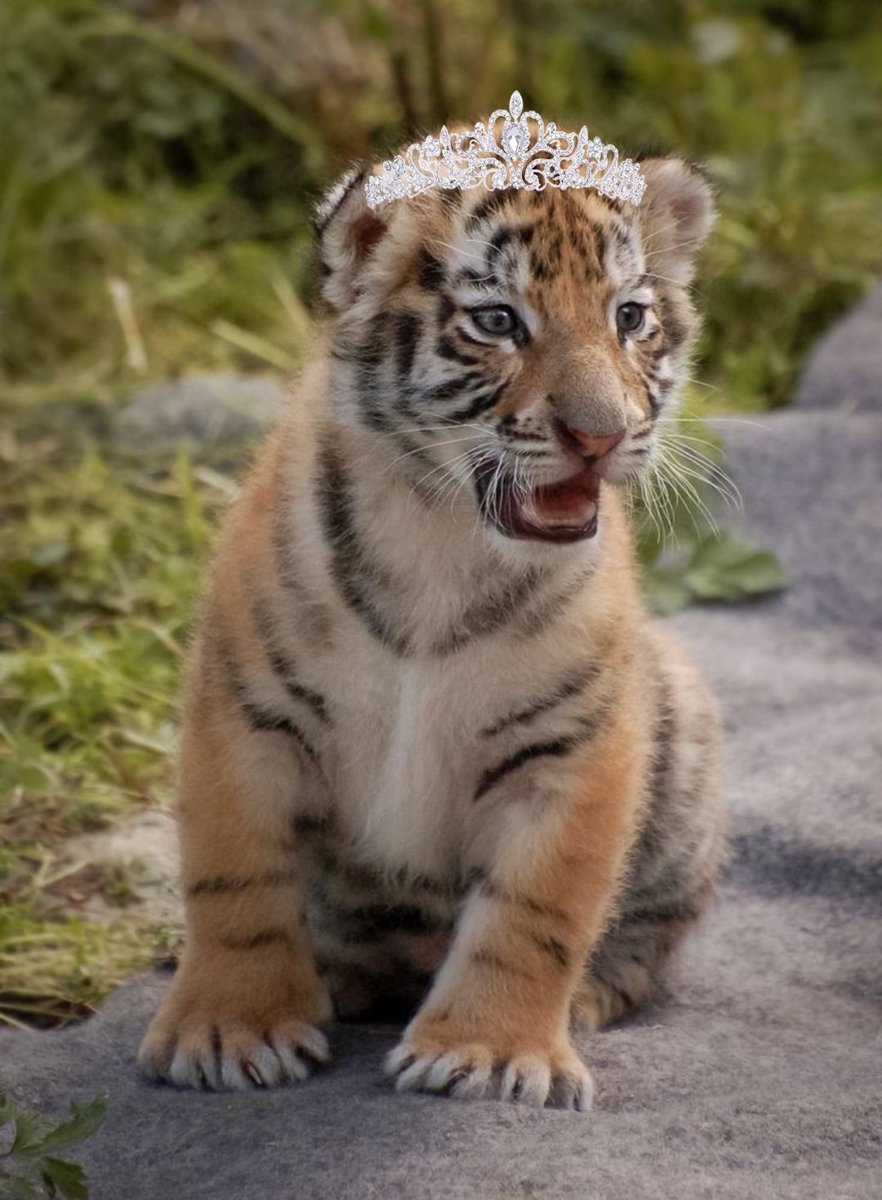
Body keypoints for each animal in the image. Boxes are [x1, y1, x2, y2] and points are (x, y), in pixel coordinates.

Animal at [137, 151, 726, 1111]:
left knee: (645, 944)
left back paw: (583, 1000)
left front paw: (490, 1051)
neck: (442, 534)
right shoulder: (247, 713)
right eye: (498, 322)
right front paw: (232, 1029)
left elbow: (536, 912)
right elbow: (237, 883)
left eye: (629, 318)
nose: (600, 438)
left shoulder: (573, 746)